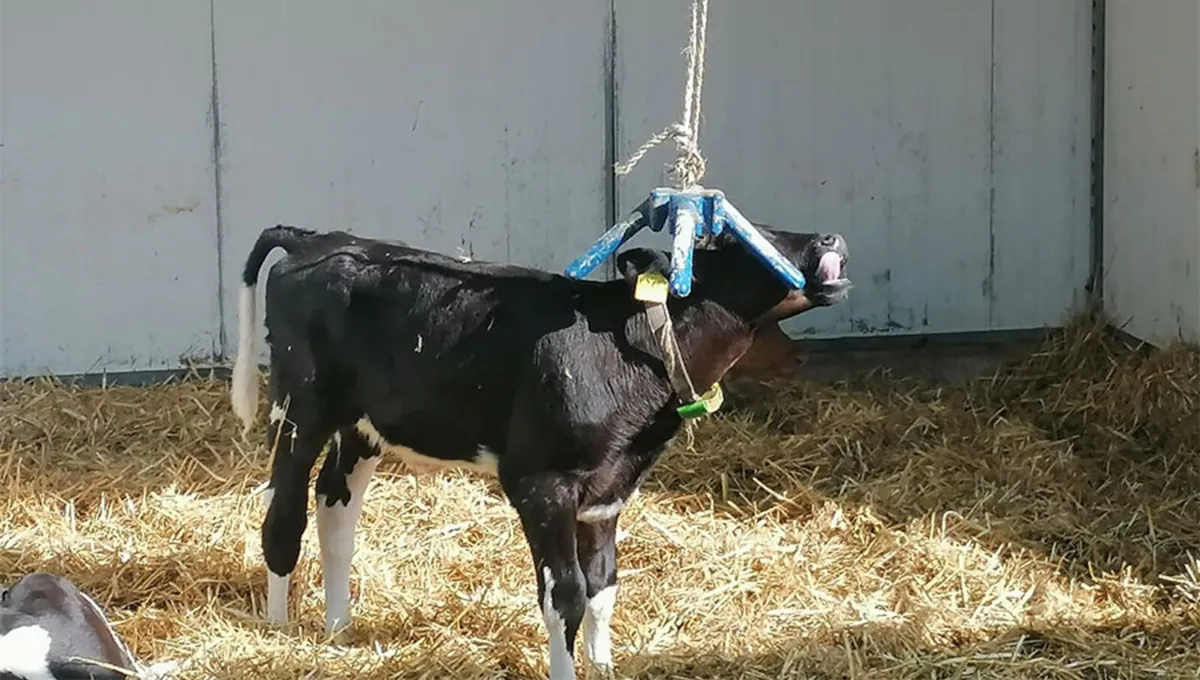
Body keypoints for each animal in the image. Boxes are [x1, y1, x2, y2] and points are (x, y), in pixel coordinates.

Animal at [229, 222, 851, 680]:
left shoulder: (610, 487)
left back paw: (338, 626)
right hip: (300, 410)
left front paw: (605, 667)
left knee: (334, 508)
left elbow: (603, 588)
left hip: (362, 426)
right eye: (727, 239)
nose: (829, 238)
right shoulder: (540, 481)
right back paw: (280, 630)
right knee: (283, 515)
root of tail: (315, 240)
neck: (633, 347)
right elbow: (566, 594)